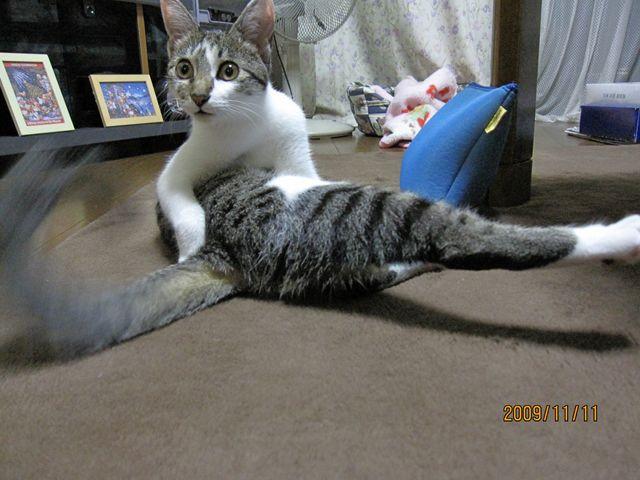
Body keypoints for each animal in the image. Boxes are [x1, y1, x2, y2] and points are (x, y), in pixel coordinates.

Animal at [157, 0, 318, 262]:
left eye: (229, 71)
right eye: (184, 69)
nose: (198, 96)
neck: (244, 124)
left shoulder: (292, 136)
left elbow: (301, 179)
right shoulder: (176, 170)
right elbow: (178, 199)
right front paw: (190, 254)